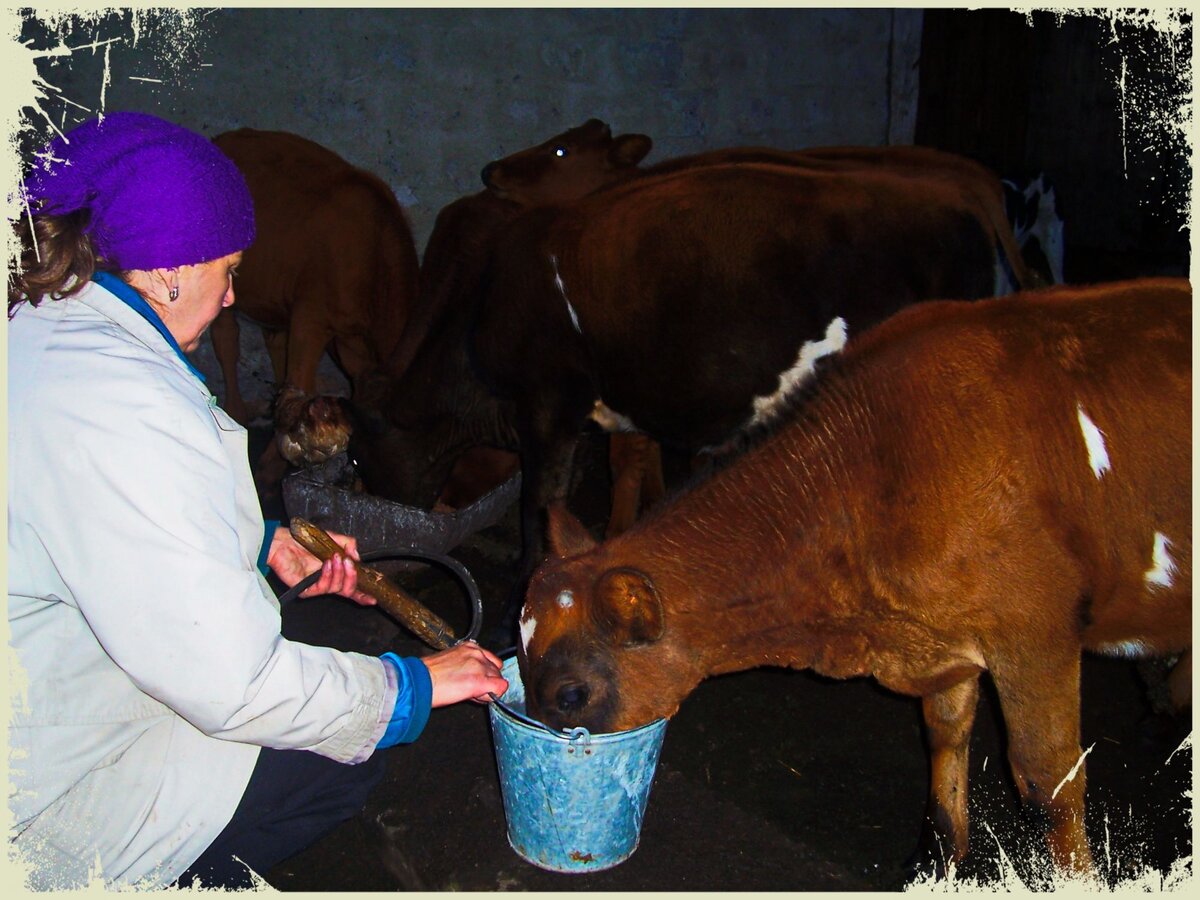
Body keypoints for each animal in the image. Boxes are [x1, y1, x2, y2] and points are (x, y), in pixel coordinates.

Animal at [211, 131, 422, 475]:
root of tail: (226, 137)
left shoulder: (351, 342)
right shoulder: (310, 318)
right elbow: (301, 381)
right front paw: (269, 468)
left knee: (274, 342)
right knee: (226, 340)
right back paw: (236, 412)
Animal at [348, 158, 1032, 633]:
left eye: (357, 453)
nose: (384, 552)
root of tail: (954, 200)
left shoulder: (548, 405)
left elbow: (539, 508)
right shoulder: (619, 411)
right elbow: (631, 479)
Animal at [516, 278, 1190, 878]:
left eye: (571, 696)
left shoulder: (1036, 632)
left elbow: (1048, 783)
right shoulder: (945, 635)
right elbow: (944, 732)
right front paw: (937, 860)